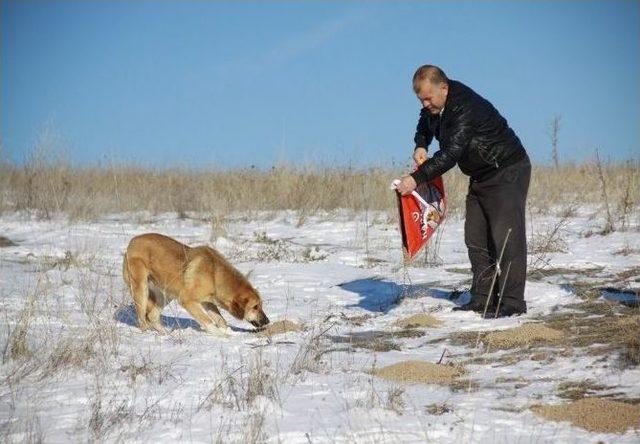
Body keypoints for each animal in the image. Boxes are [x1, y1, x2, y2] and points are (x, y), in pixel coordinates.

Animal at [122, 234, 268, 334]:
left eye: (260, 305)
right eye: (255, 307)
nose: (268, 321)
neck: (215, 275)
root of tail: (132, 242)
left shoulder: (208, 303)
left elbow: (221, 320)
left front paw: (229, 334)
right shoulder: (187, 300)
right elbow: (208, 321)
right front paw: (222, 336)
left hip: (167, 294)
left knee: (152, 315)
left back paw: (166, 334)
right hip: (141, 289)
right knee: (142, 319)